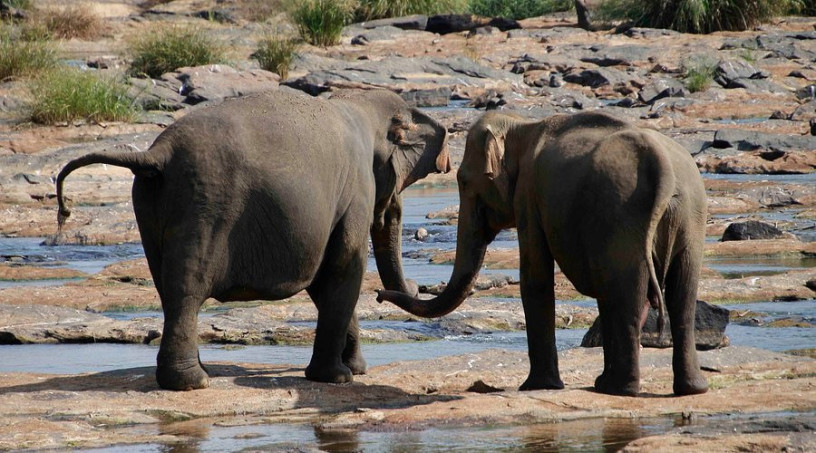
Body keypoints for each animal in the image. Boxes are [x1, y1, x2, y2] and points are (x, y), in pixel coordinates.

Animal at [55, 88, 452, 388]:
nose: (406, 289)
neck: (357, 104)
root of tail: (156, 153)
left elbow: (325, 280)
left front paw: (355, 370)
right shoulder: (355, 190)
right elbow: (343, 268)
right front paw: (340, 378)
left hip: (150, 206)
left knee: (165, 286)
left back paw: (197, 373)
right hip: (207, 205)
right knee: (187, 287)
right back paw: (193, 382)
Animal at [380, 110, 708, 396]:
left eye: (462, 180)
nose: (379, 295)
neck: (522, 126)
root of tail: (663, 167)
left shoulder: (528, 195)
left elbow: (535, 277)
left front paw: (536, 386)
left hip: (624, 217)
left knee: (627, 290)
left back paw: (618, 389)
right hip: (689, 216)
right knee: (680, 293)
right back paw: (689, 389)